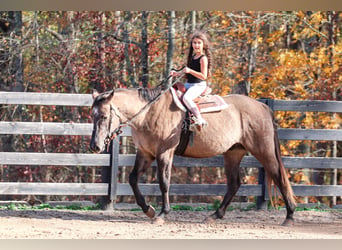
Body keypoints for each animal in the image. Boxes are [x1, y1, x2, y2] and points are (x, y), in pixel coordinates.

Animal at [91, 86, 296, 227]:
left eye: (103, 116)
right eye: (92, 115)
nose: (95, 146)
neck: (150, 113)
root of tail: (262, 106)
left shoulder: (164, 153)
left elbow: (164, 183)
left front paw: (162, 214)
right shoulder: (145, 153)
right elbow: (133, 179)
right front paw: (148, 210)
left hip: (264, 151)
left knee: (279, 177)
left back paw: (290, 215)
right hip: (233, 153)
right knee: (234, 184)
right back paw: (215, 215)